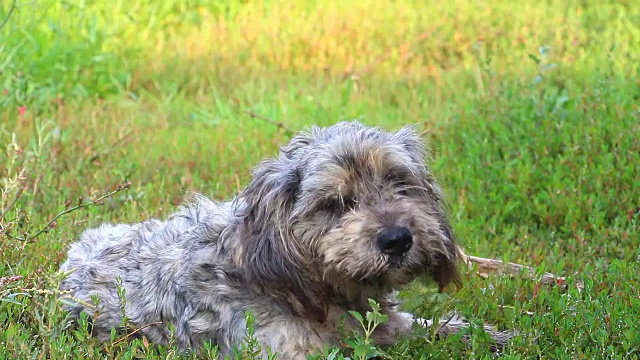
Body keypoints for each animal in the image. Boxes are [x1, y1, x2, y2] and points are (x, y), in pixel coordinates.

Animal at [60, 120, 510, 358]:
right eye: (334, 203)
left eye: (399, 182)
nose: (398, 239)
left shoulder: (388, 324)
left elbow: (438, 325)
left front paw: (496, 335)